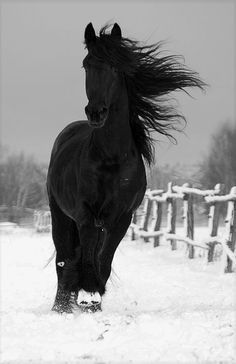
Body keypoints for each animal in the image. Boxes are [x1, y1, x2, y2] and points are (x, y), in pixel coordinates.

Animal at [46, 22, 205, 312]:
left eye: (114, 66)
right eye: (86, 65)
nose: (95, 113)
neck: (111, 158)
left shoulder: (120, 218)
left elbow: (103, 262)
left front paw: (94, 299)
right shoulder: (85, 215)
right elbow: (85, 259)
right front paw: (87, 295)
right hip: (60, 215)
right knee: (63, 258)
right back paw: (61, 306)